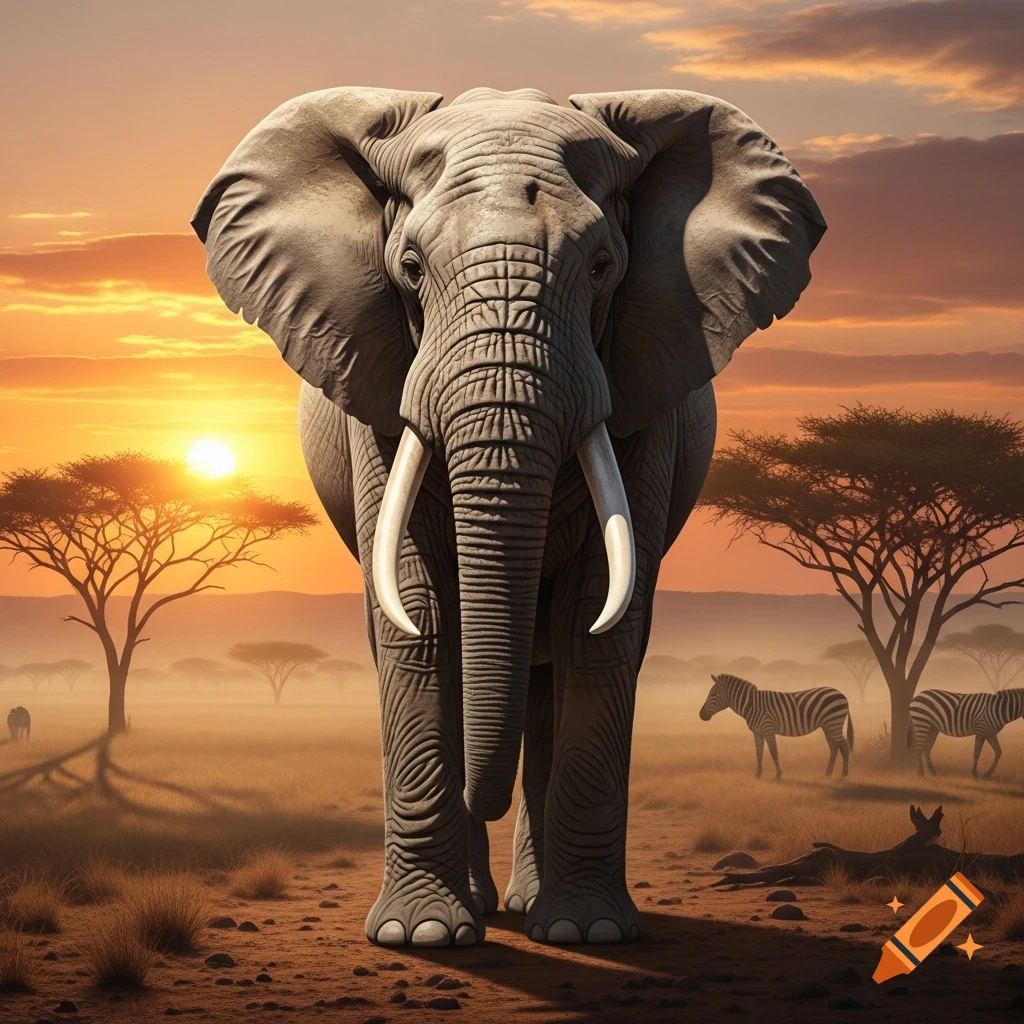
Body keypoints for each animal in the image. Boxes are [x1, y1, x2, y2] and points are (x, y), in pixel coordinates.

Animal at [192, 85, 825, 948]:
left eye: (602, 267)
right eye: (410, 269)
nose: (474, 798)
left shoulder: (645, 387)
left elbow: (599, 620)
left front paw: (591, 933)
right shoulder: (377, 386)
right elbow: (419, 616)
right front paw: (425, 937)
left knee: (553, 670)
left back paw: (529, 909)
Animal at [699, 674, 854, 778]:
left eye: (713, 694)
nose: (701, 715)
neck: (752, 705)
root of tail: (842, 694)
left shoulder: (768, 728)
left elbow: (774, 752)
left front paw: (778, 775)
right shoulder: (757, 732)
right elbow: (759, 753)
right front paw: (758, 775)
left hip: (833, 722)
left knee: (844, 746)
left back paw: (844, 775)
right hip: (827, 725)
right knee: (834, 747)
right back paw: (828, 773)